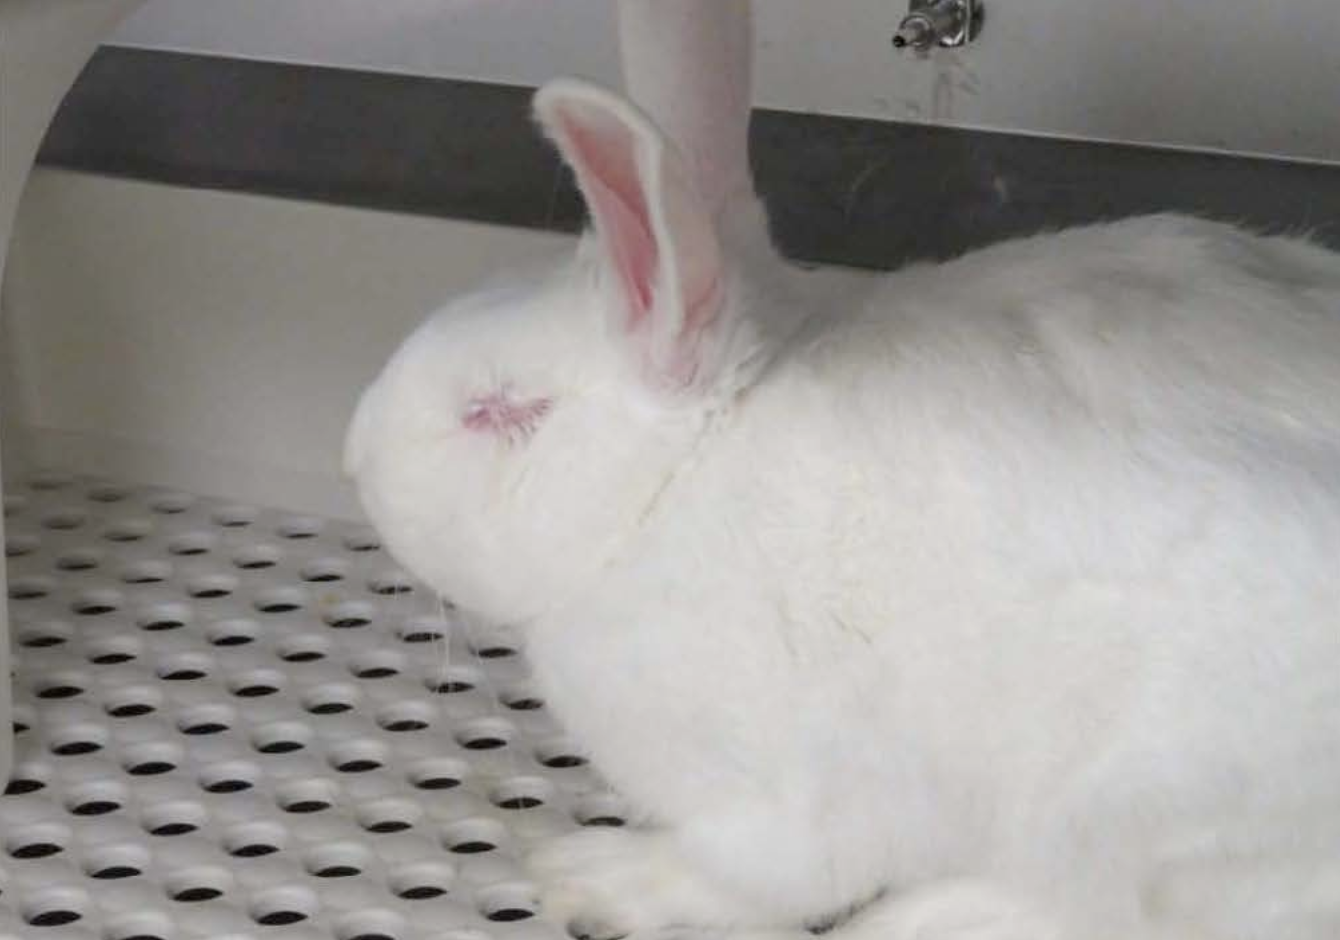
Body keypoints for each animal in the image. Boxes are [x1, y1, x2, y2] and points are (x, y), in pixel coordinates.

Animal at [344, 2, 1340, 938]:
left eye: (499, 410)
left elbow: (748, 879)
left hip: (1150, 821)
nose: (354, 453)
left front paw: (589, 876)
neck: (669, 493)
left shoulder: (782, 798)